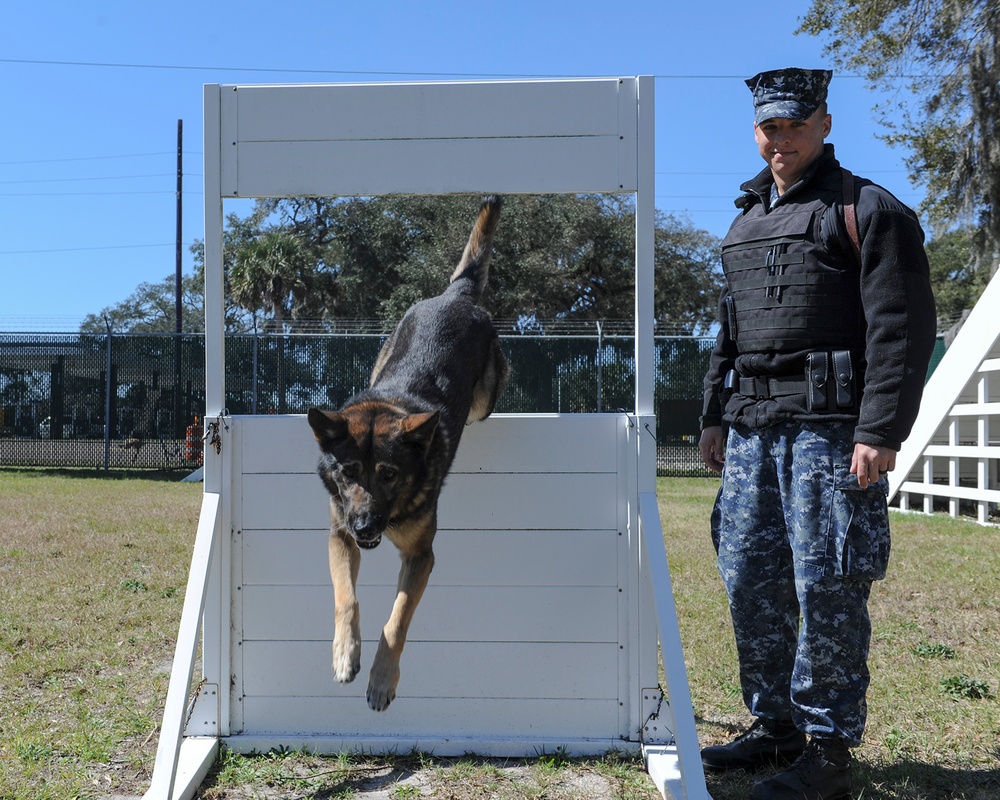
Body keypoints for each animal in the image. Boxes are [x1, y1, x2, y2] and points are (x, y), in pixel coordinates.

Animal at [304, 197, 508, 708]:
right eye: (347, 472)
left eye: (390, 474)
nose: (364, 526)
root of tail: (456, 297)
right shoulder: (338, 537)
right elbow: (347, 598)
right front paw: (345, 654)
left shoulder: (421, 556)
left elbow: (396, 620)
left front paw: (381, 678)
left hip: (487, 397)